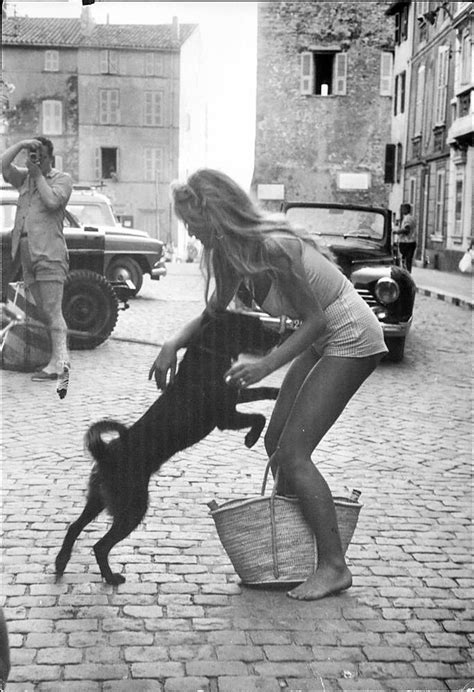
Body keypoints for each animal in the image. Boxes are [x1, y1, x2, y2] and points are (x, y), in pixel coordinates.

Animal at [54, 310, 282, 588]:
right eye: (257, 325)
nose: (281, 334)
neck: (209, 354)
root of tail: (106, 452)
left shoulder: (234, 396)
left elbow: (261, 392)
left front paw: (276, 391)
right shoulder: (225, 417)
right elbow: (259, 417)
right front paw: (250, 438)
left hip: (97, 499)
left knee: (73, 527)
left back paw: (61, 562)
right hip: (133, 508)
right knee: (100, 546)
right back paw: (111, 577)